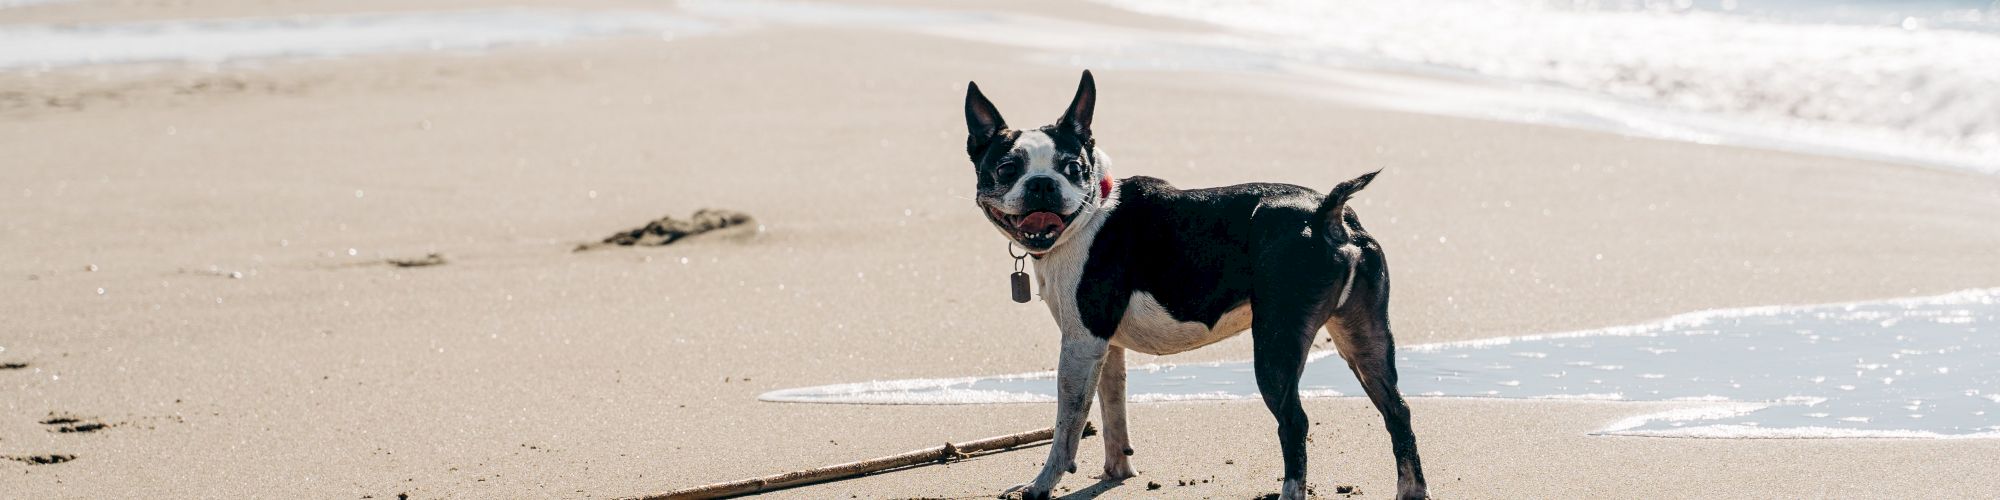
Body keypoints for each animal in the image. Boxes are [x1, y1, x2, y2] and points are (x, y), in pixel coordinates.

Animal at [964, 71, 1424, 500]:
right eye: (1007, 169)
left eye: (1072, 169)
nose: (1042, 184)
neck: (1090, 212)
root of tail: (1326, 212)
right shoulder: (1106, 346)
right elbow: (1113, 408)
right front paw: (1117, 472)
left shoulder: (1081, 341)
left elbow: (1069, 422)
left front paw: (1041, 484)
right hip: (1364, 336)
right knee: (1398, 411)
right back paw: (1412, 489)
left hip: (1276, 342)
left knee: (1295, 423)